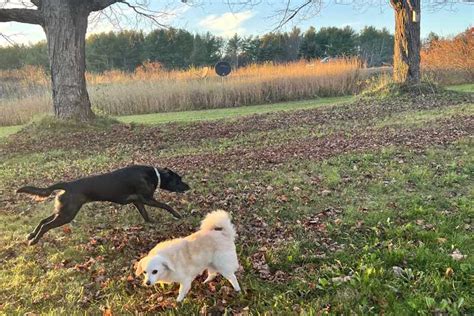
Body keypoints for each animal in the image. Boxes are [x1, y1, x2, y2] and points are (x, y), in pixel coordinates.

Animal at [16, 167, 191, 246]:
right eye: (179, 179)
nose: (188, 186)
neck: (154, 175)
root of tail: (66, 185)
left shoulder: (138, 201)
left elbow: (145, 214)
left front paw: (151, 223)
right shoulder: (147, 198)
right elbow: (166, 205)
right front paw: (177, 214)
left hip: (62, 211)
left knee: (43, 221)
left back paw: (31, 235)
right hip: (67, 214)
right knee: (46, 225)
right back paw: (34, 241)